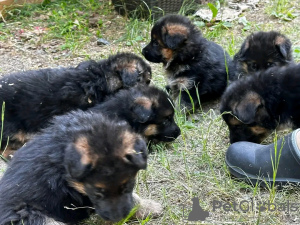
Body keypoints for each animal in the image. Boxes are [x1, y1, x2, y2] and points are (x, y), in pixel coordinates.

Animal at [0, 110, 146, 224]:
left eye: (127, 186)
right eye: (97, 193)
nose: (117, 218)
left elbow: (133, 198)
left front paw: (148, 207)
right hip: (26, 213)